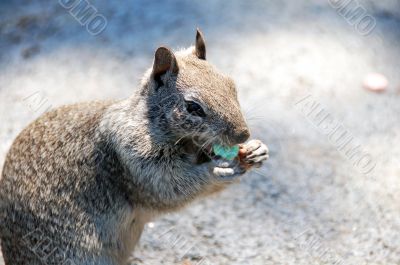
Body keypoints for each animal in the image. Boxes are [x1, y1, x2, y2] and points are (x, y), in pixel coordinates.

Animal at [0, 29, 268, 264]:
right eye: (193, 107)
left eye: (231, 85)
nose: (242, 134)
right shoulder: (132, 157)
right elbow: (170, 187)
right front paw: (217, 171)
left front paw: (256, 150)